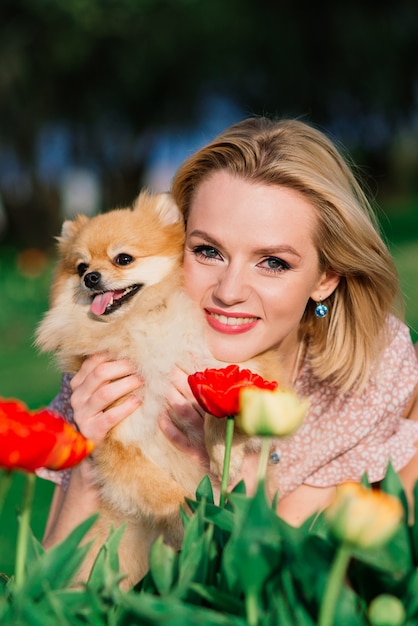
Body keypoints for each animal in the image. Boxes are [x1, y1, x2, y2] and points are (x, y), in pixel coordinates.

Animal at [37, 189, 282, 584]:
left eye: (123, 259)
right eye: (80, 267)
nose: (91, 278)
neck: (142, 323)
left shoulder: (245, 370)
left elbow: (224, 409)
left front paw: (221, 454)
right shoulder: (120, 442)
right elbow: (168, 497)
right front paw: (193, 525)